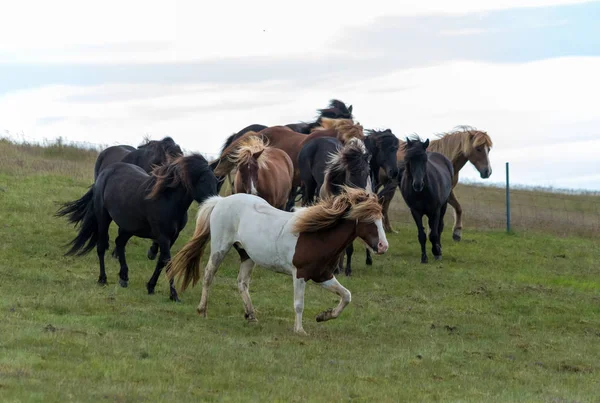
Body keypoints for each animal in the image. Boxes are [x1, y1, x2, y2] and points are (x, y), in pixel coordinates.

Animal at [56, 155, 218, 304]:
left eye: (216, 181)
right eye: (203, 180)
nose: (214, 204)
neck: (168, 200)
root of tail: (106, 172)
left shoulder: (172, 237)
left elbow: (161, 261)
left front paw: (151, 287)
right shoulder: (162, 236)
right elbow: (168, 261)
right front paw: (174, 295)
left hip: (128, 227)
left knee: (120, 243)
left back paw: (123, 278)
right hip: (103, 218)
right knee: (101, 247)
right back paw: (103, 279)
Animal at [165, 186, 390, 334]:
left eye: (380, 219)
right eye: (369, 220)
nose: (383, 246)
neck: (317, 235)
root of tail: (221, 201)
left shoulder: (323, 276)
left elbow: (346, 295)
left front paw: (323, 316)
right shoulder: (300, 274)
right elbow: (299, 304)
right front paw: (299, 330)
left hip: (247, 255)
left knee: (242, 283)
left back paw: (251, 315)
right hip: (220, 248)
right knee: (209, 275)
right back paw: (202, 310)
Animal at [296, 137, 370, 276]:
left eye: (368, 173)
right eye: (351, 173)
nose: (363, 197)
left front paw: (345, 268)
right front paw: (337, 269)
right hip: (309, 186)